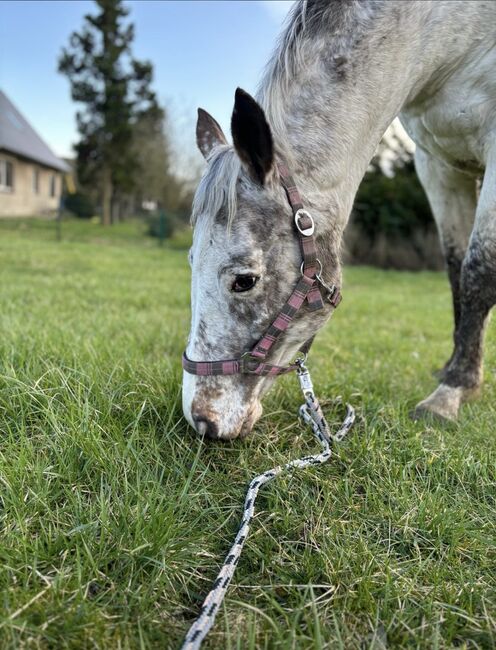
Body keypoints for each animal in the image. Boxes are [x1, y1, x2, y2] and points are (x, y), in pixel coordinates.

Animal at [182, 0, 496, 438]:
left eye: (244, 281)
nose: (202, 420)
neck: (449, 37)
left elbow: (478, 274)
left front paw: (452, 392)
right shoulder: (435, 165)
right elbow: (455, 271)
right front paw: (455, 370)